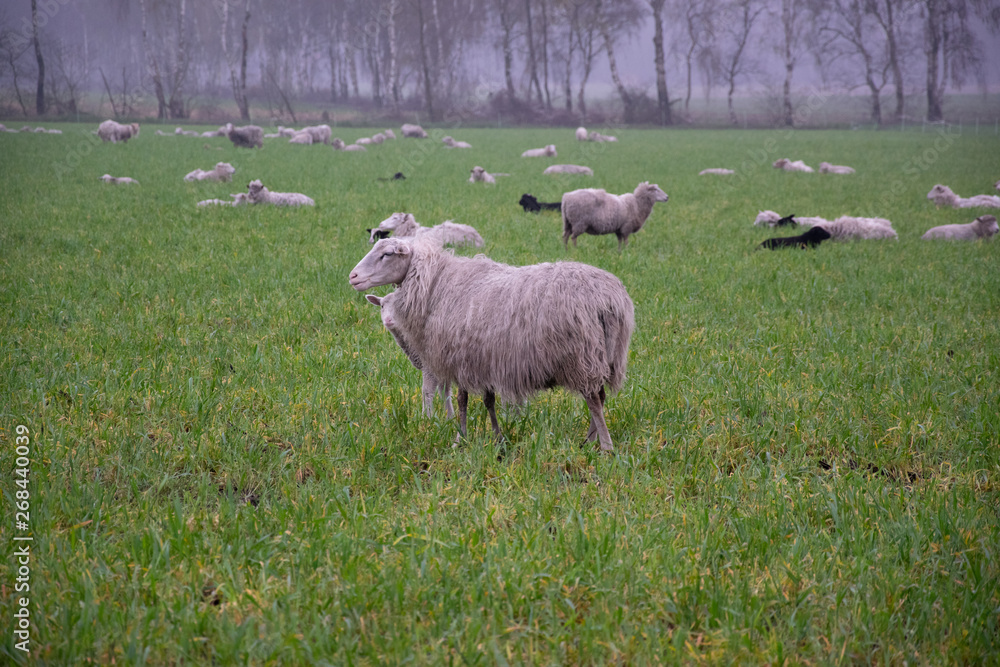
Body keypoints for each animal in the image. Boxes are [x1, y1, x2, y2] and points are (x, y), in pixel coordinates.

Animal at [365, 290, 454, 419]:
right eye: (382, 306)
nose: (388, 320)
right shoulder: (441, 368)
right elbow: (445, 392)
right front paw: (450, 418)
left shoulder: (430, 367)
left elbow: (427, 391)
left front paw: (426, 417)